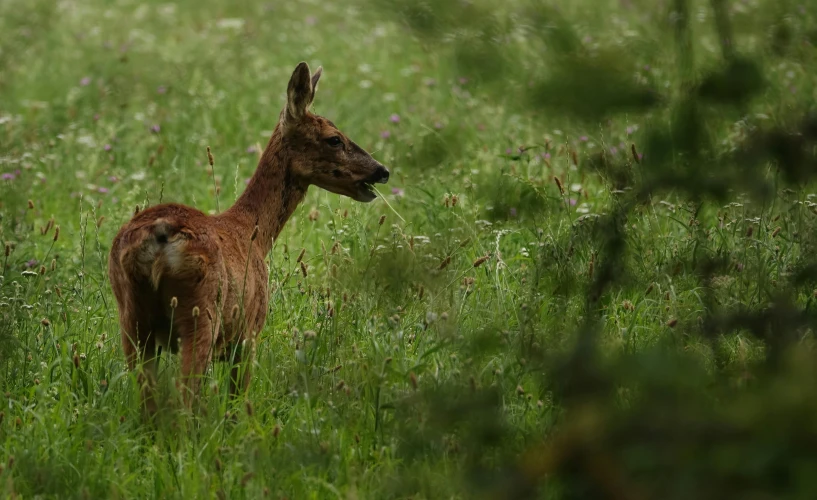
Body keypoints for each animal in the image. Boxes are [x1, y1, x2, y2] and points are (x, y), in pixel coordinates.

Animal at [107, 62, 388, 414]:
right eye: (334, 139)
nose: (381, 170)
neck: (254, 232)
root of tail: (159, 235)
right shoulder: (249, 332)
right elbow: (236, 401)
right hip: (200, 315)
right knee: (186, 395)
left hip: (131, 317)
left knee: (147, 399)